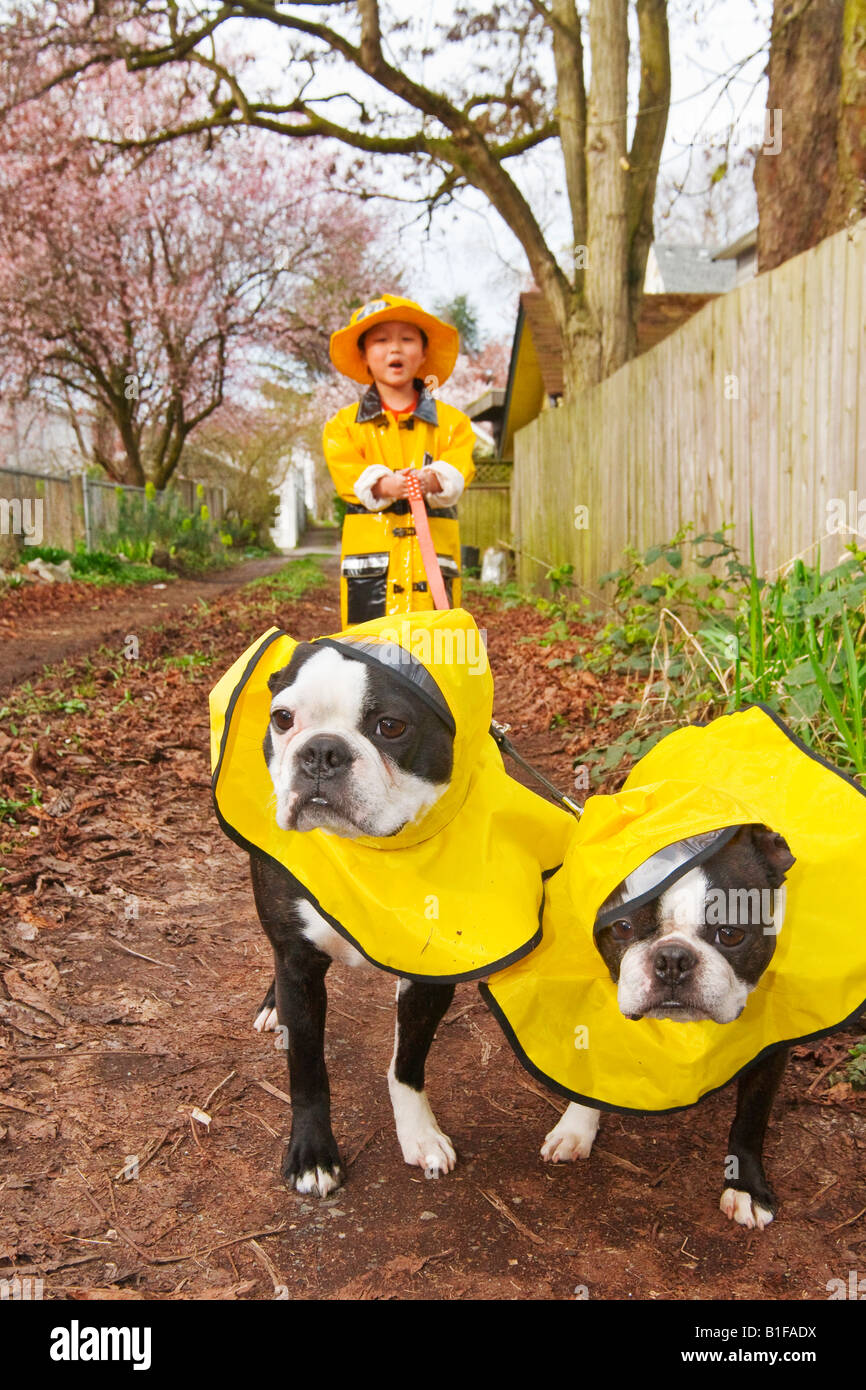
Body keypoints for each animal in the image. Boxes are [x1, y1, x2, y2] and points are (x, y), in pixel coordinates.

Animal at [247, 639, 458, 1195]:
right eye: (282, 718)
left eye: (391, 726)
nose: (321, 751)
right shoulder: (297, 964)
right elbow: (307, 1067)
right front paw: (312, 1154)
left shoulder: (430, 978)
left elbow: (408, 1063)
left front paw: (419, 1134)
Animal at [542, 822, 800, 1228]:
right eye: (622, 927)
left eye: (731, 934)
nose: (673, 958)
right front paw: (576, 1127)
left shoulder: (772, 1042)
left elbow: (752, 1116)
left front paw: (746, 1187)